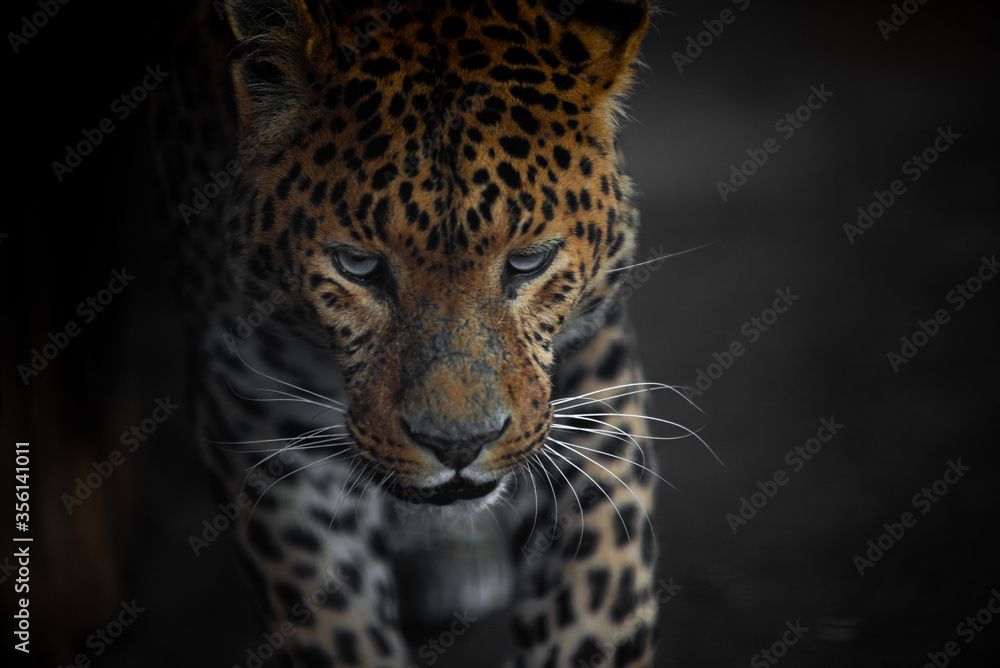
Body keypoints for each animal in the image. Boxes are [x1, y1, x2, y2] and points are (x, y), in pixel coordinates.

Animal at [152, 1, 675, 666]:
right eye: (357, 265)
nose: (458, 447)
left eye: (528, 262)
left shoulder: (589, 370)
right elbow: (333, 623)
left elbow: (598, 593)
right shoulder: (259, 411)